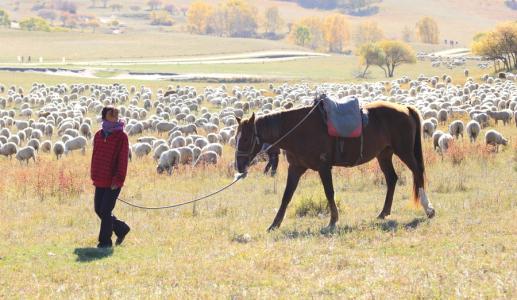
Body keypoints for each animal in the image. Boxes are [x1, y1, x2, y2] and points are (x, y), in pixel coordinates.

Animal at [236, 95, 434, 231]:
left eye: (245, 138)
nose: (238, 166)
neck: (299, 130)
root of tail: (405, 109)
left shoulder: (324, 167)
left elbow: (329, 192)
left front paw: (333, 221)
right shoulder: (296, 169)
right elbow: (286, 196)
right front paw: (274, 224)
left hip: (404, 152)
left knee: (417, 172)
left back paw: (428, 209)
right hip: (384, 155)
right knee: (392, 179)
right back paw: (383, 212)